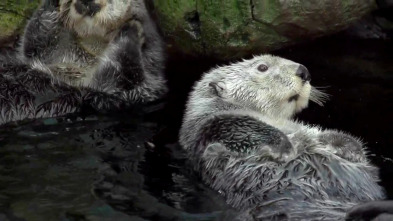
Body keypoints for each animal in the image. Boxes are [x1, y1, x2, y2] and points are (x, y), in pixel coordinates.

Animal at [0, 0, 166, 124]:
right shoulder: (48, 55)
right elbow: (34, 44)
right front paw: (53, 2)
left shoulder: (135, 90)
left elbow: (123, 76)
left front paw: (132, 29)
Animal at [179, 54, 384, 220]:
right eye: (262, 67)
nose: (304, 71)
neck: (272, 119)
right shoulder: (206, 129)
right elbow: (235, 124)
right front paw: (285, 146)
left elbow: (334, 137)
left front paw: (347, 149)